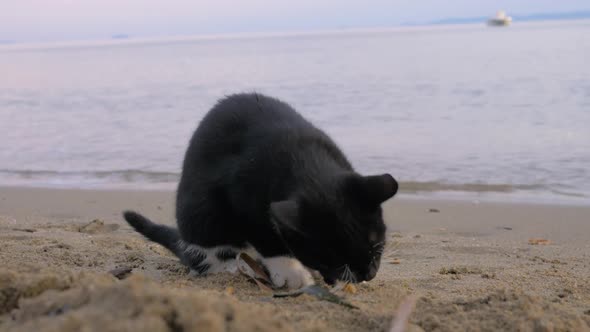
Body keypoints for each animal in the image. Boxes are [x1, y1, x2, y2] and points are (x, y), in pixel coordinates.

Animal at [126, 92, 400, 288]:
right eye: (332, 256)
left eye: (376, 244)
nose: (368, 274)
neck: (309, 164)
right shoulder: (241, 196)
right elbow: (265, 235)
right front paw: (292, 272)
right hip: (199, 214)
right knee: (205, 251)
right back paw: (231, 267)